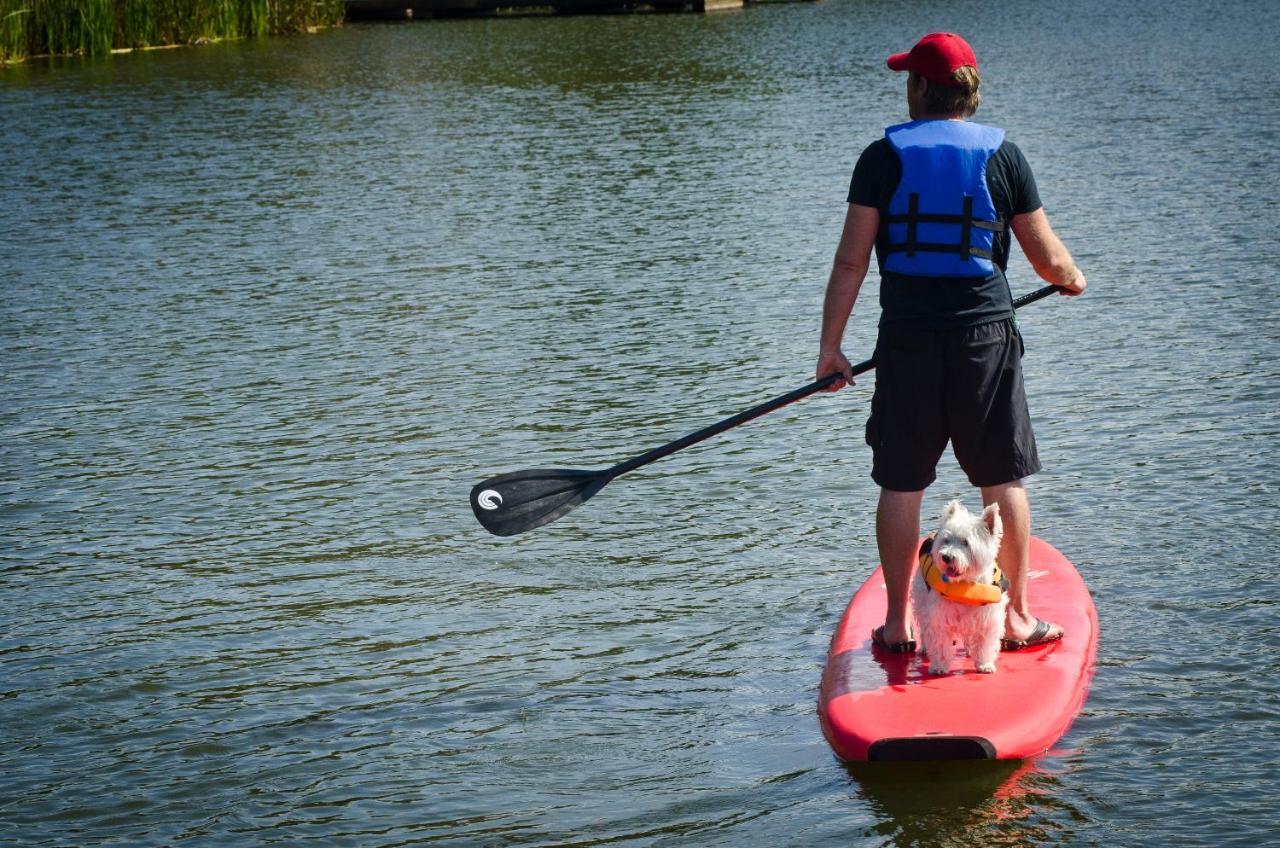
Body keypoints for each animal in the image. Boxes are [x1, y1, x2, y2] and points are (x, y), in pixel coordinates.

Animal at [911, 502, 1008, 676]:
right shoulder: (939, 617)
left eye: (966, 542)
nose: (946, 557)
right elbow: (940, 643)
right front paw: (939, 666)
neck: (965, 586)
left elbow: (984, 644)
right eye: (946, 540)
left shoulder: (988, 619)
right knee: (923, 626)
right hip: (921, 600)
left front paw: (984, 664)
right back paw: (923, 647)